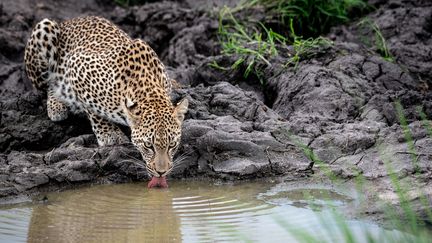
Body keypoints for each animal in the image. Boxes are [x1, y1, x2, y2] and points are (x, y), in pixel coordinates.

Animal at [23, 15, 188, 184]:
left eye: (172, 145)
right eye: (148, 146)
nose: (162, 172)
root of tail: (68, 21)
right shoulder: (77, 66)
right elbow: (93, 110)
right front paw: (109, 134)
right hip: (44, 29)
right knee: (47, 84)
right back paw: (56, 104)